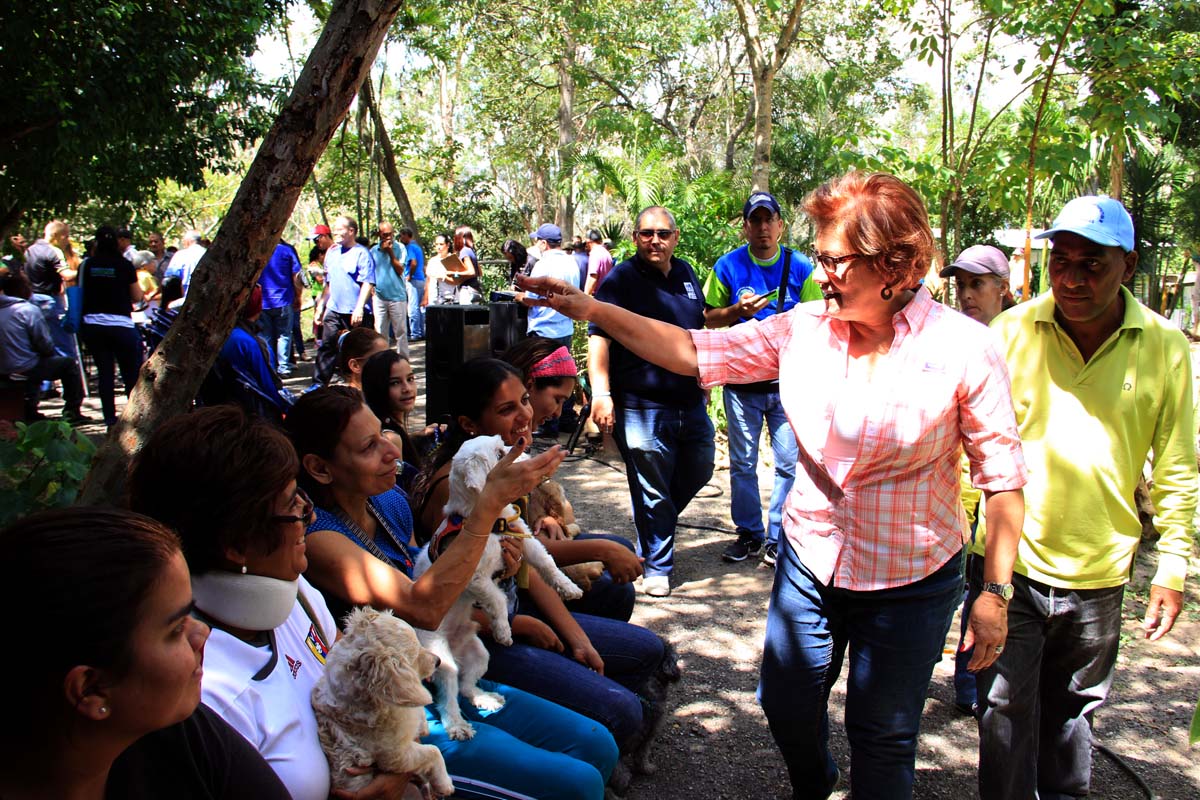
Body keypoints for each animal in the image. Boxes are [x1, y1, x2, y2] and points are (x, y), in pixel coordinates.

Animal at [312, 609, 451, 796]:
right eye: (415, 657)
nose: (438, 661)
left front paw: (422, 724)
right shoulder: (396, 756)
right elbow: (433, 751)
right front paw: (444, 783)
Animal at [412, 434, 580, 743]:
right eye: (501, 453)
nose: (530, 450)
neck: (491, 522)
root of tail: (455, 646)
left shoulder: (525, 541)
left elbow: (547, 563)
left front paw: (568, 587)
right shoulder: (474, 577)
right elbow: (498, 598)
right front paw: (503, 629)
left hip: (479, 654)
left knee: (466, 685)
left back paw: (486, 698)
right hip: (439, 655)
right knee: (449, 693)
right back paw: (457, 725)